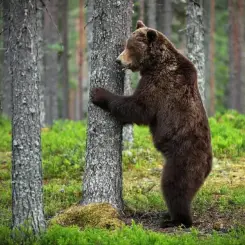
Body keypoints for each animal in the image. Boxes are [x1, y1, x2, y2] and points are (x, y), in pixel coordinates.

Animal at [91, 20, 212, 229]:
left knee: (174, 186)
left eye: (130, 47)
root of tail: (208, 164)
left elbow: (139, 108)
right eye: (125, 45)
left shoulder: (160, 85)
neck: (155, 63)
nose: (118, 60)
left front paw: (98, 93)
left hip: (183, 158)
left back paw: (176, 220)